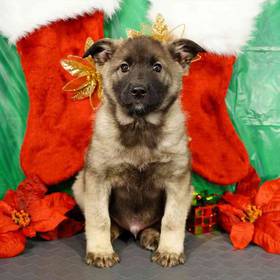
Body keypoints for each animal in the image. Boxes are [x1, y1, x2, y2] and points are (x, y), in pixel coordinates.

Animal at [72, 36, 203, 268]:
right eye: (124, 67)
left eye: (157, 67)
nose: (138, 91)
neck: (140, 127)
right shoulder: (97, 179)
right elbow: (99, 218)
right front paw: (101, 251)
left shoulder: (177, 182)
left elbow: (171, 220)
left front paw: (169, 251)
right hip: (79, 185)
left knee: (157, 223)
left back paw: (152, 235)